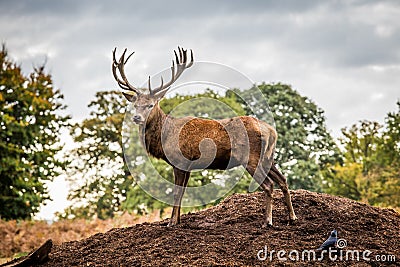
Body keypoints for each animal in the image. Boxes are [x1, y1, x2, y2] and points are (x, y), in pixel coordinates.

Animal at [112, 46, 296, 228]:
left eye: (150, 105)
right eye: (135, 105)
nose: (137, 118)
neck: (165, 137)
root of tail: (271, 131)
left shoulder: (179, 161)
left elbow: (176, 192)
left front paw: (171, 223)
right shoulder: (188, 166)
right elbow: (182, 192)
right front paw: (178, 220)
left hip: (250, 157)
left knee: (269, 185)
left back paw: (267, 221)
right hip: (268, 157)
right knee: (283, 180)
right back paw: (291, 217)